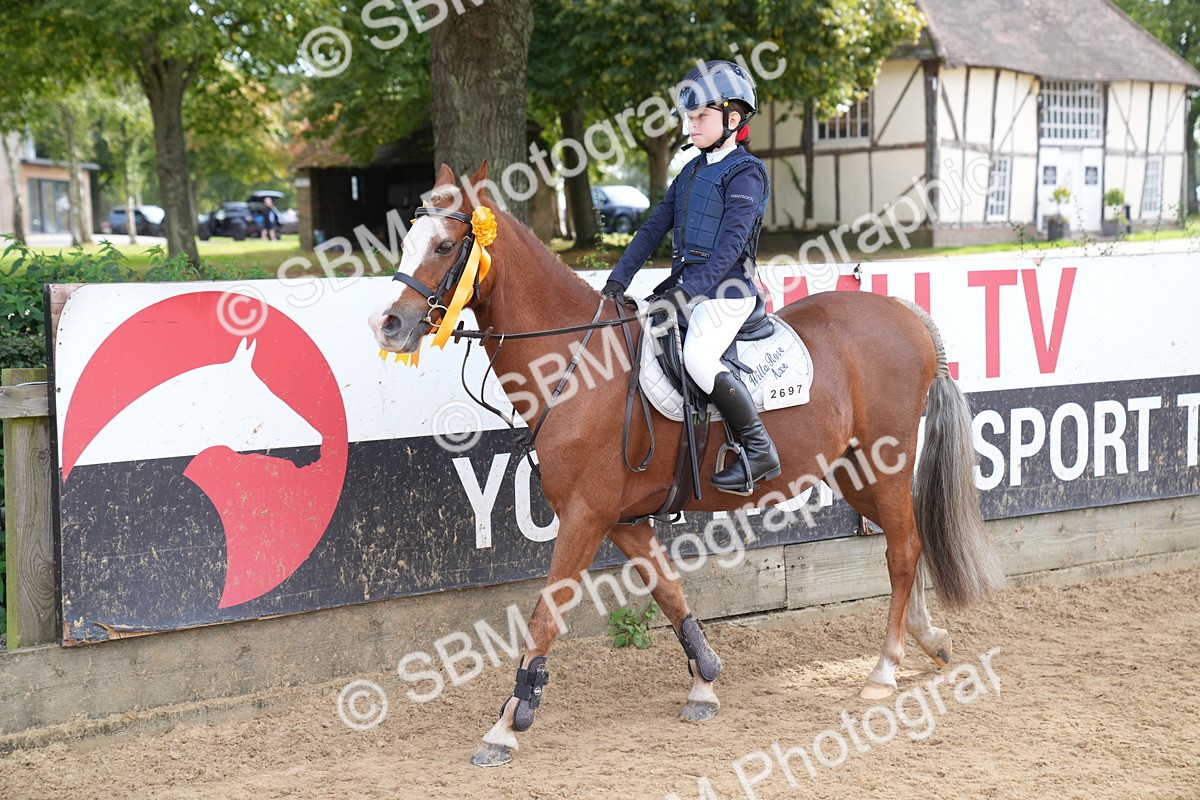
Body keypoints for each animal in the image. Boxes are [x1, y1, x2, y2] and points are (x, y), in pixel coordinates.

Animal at [368, 162, 1006, 767]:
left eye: (444, 246)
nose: (387, 325)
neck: (580, 364)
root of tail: (902, 312)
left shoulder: (584, 516)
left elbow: (547, 613)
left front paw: (507, 723)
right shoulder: (622, 520)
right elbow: (669, 592)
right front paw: (704, 683)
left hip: (887, 462)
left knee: (902, 551)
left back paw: (885, 668)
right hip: (854, 470)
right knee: (908, 543)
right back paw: (930, 639)